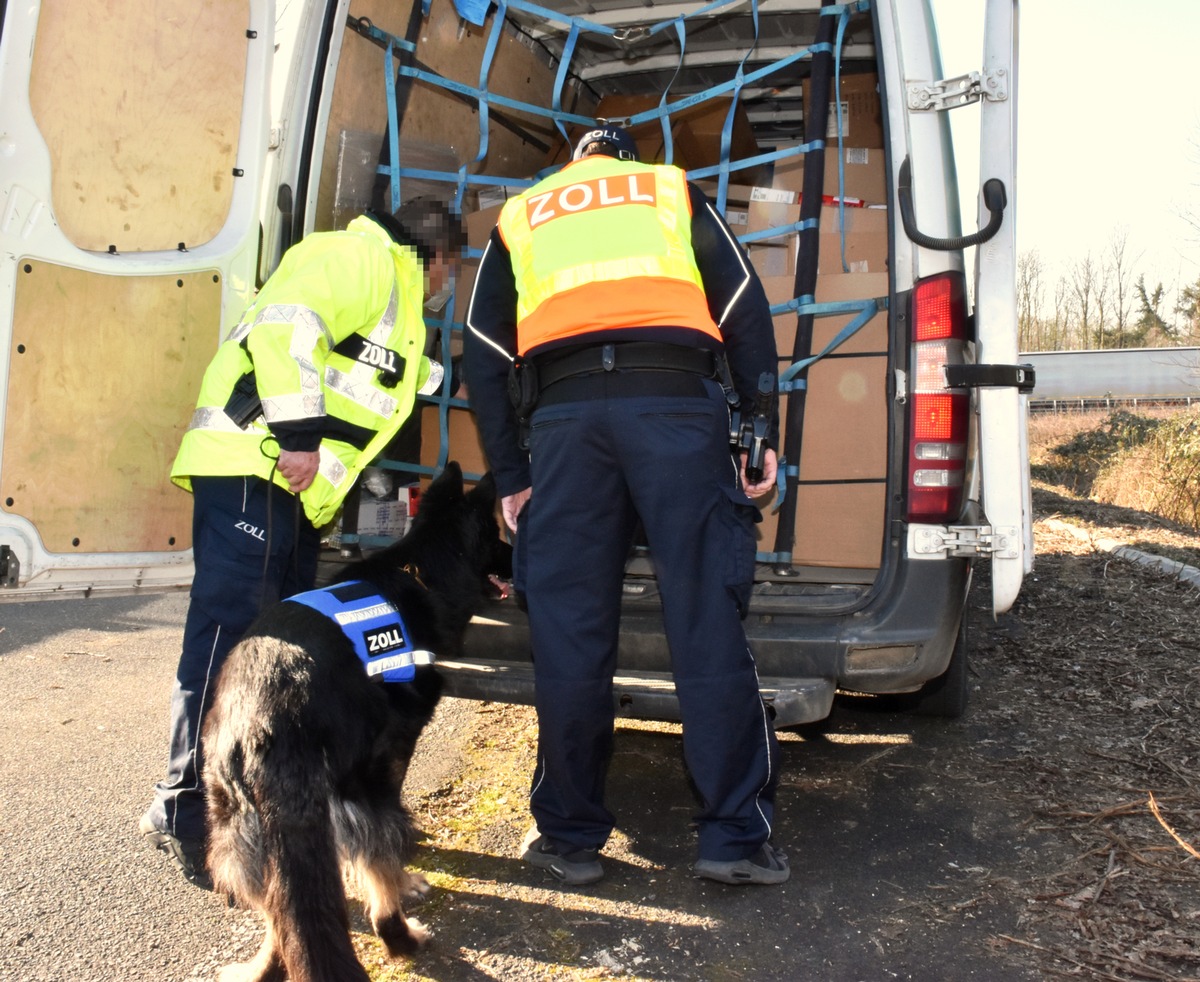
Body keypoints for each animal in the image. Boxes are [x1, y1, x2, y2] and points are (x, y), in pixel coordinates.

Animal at [200, 460, 506, 979]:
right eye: (500, 536)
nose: (516, 562)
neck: (421, 571)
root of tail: (263, 720)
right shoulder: (391, 757)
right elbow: (378, 854)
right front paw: (403, 884)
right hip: (360, 788)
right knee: (375, 862)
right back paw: (401, 937)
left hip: (241, 831)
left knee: (279, 912)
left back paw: (263, 965)